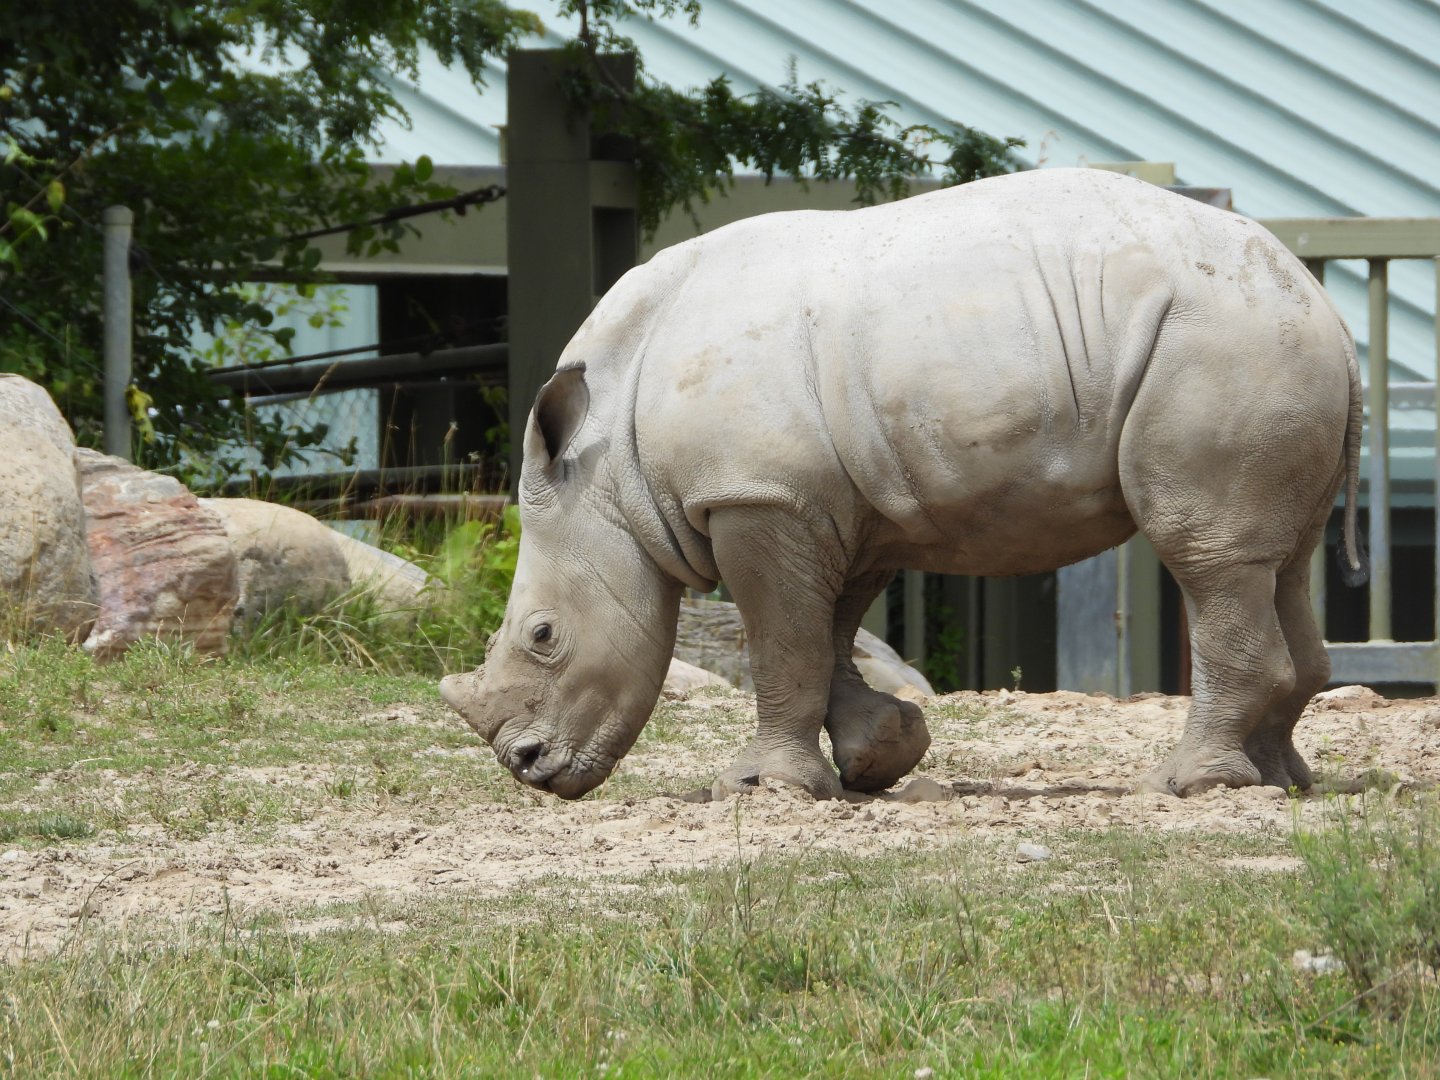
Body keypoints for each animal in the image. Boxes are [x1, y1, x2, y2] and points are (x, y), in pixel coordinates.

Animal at [441, 167, 1363, 801]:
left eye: (544, 636)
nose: (527, 768)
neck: (611, 469)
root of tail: (1329, 311)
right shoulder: (836, 504)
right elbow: (826, 634)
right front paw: (879, 757)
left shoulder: (758, 494)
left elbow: (781, 640)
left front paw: (762, 788)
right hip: (1268, 348)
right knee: (1278, 560)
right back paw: (1281, 781)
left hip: (1223, 342)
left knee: (1207, 556)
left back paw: (1188, 786)